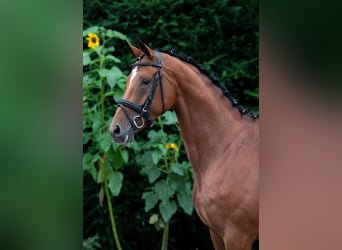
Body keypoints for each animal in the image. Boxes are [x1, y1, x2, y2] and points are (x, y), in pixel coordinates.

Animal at [110, 41, 260, 250]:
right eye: (127, 80)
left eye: (145, 81)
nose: (115, 130)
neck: (227, 148)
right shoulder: (216, 235)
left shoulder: (237, 236)